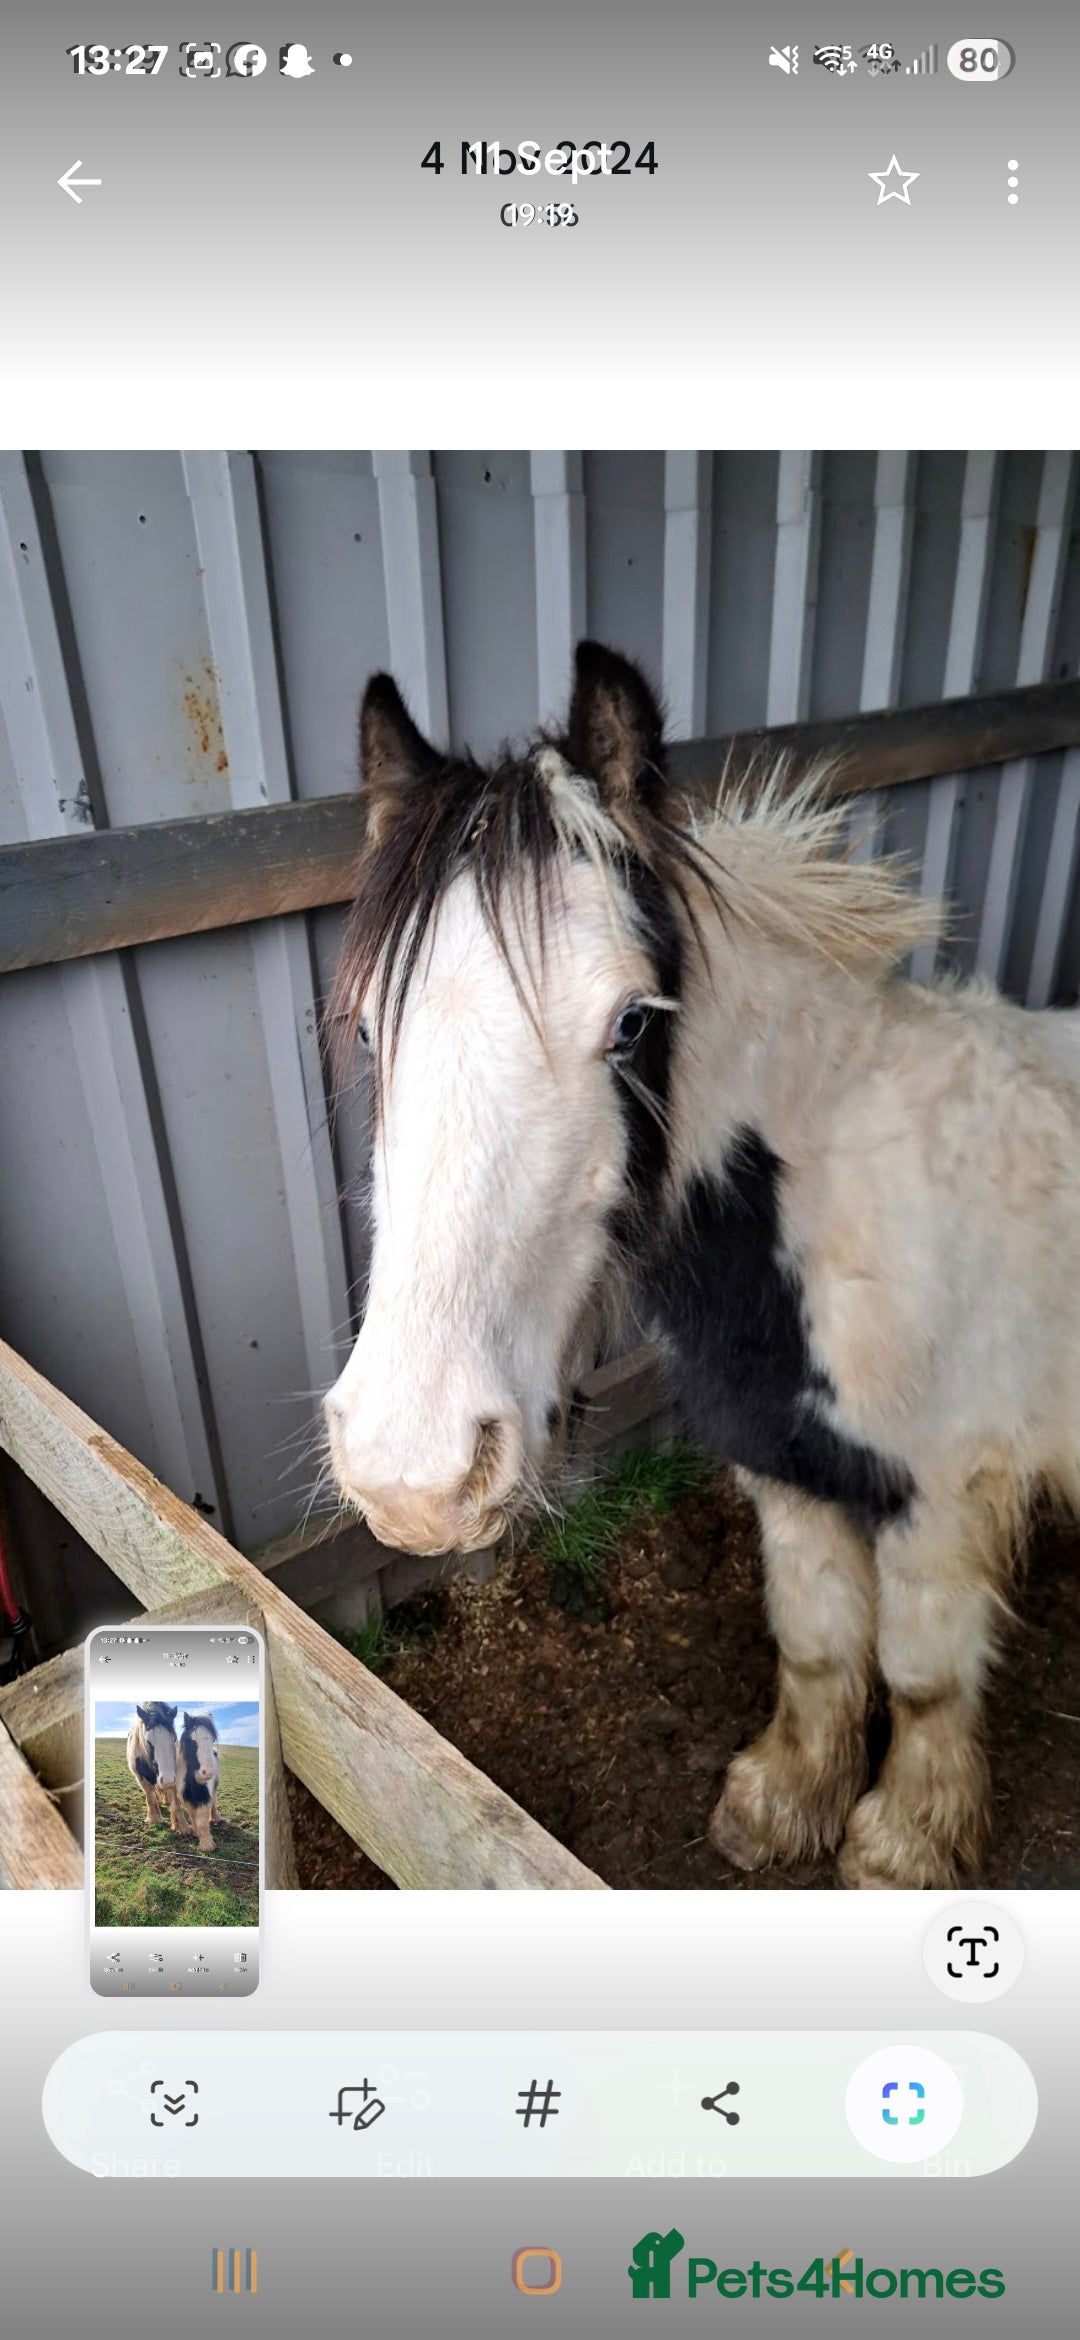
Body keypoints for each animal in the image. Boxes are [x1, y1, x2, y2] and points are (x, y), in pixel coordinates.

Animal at [126, 1700, 185, 1833]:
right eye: (148, 1741)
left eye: (174, 1739)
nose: (168, 1780)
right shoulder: (141, 1778)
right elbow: (150, 1797)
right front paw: (154, 1818)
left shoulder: (173, 1776)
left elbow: (175, 1802)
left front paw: (182, 1826)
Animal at [322, 639, 1080, 1890]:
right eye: (371, 1028)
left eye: (633, 1022)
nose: (411, 1476)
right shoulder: (784, 1470)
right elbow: (818, 1644)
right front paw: (780, 1806)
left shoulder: (937, 1497)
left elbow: (923, 1677)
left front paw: (902, 1847)